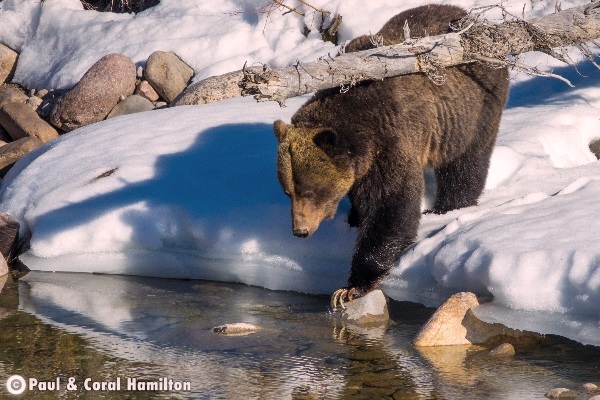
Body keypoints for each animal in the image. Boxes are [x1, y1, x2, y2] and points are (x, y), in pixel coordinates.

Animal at [274, 3, 508, 310]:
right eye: (288, 191)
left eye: (310, 190)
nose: (299, 231)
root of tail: (470, 16)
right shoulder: (363, 164)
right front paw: (354, 217)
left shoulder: (391, 140)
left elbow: (392, 206)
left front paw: (351, 287)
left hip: (472, 109)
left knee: (466, 162)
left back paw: (447, 207)